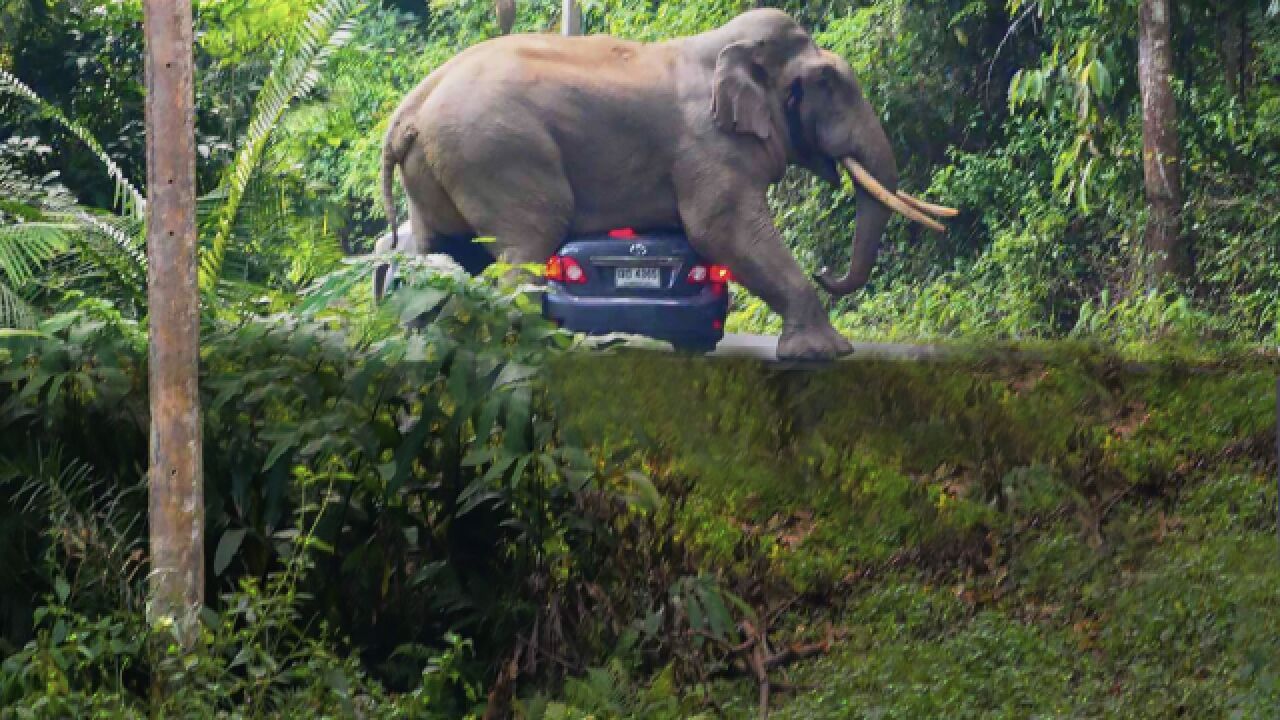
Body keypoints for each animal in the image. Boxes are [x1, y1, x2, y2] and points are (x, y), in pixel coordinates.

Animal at [373, 9, 957, 356]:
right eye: (830, 84)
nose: (827, 270)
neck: (724, 47)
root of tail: (409, 108)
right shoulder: (707, 143)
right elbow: (721, 230)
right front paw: (825, 354)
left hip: (441, 166)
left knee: (444, 251)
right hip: (497, 154)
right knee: (526, 243)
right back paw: (527, 347)